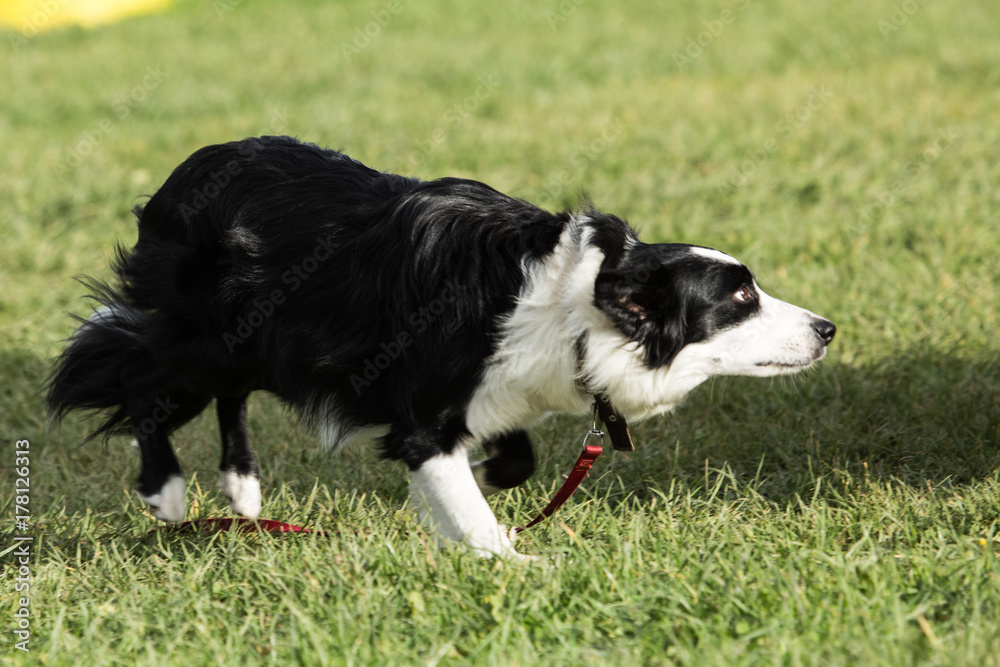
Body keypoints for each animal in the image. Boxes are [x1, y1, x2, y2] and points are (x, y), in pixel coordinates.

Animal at [50, 136, 836, 560]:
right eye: (740, 299)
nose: (828, 328)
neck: (578, 305)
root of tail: (186, 171)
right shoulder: (427, 405)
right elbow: (457, 485)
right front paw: (513, 558)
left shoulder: (496, 384)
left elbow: (515, 460)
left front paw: (475, 484)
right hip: (208, 331)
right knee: (139, 377)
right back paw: (167, 491)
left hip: (257, 339)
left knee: (227, 391)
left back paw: (243, 488)